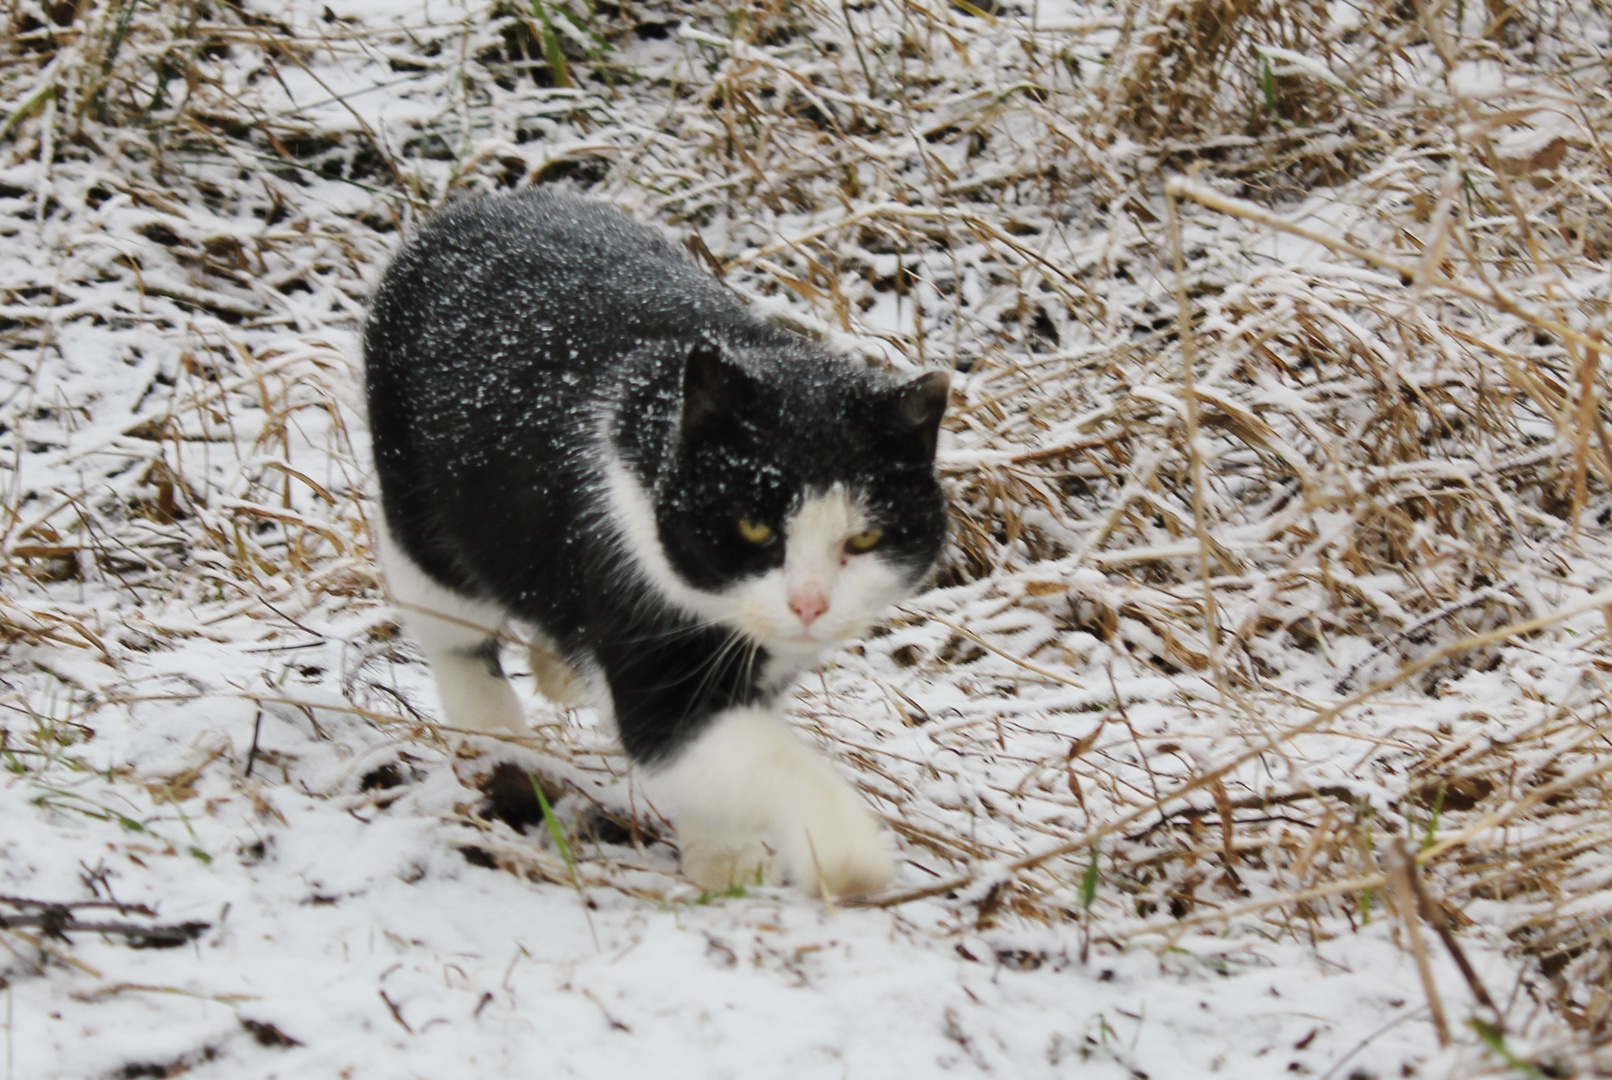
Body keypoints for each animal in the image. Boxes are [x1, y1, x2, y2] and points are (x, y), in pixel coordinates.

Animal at [365, 190, 941, 902]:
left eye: (864, 537)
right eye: (753, 528)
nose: (808, 604)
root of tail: (472, 206)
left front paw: (726, 863)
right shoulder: (648, 621)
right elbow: (745, 754)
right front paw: (845, 856)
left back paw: (556, 673)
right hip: (418, 515)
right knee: (454, 637)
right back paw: (497, 745)